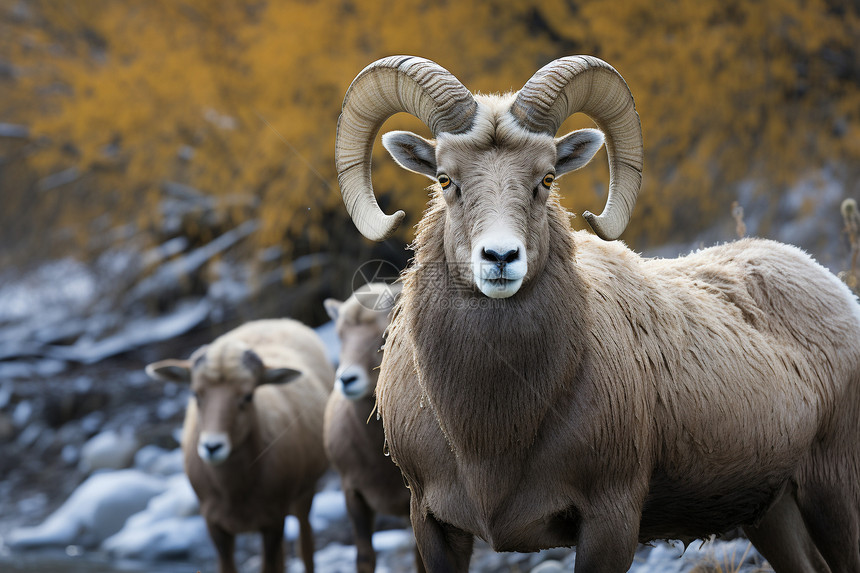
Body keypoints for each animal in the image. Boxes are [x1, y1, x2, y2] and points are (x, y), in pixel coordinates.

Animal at [144, 320, 332, 568]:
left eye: (248, 396)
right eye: (195, 394)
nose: (212, 447)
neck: (234, 491)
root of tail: (273, 321)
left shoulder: (273, 518)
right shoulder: (214, 524)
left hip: (305, 492)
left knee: (305, 544)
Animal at [332, 54, 860, 572]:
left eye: (546, 179)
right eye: (445, 179)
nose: (500, 257)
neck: (489, 438)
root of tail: (834, 289)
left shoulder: (611, 520)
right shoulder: (433, 525)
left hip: (834, 493)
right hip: (773, 513)